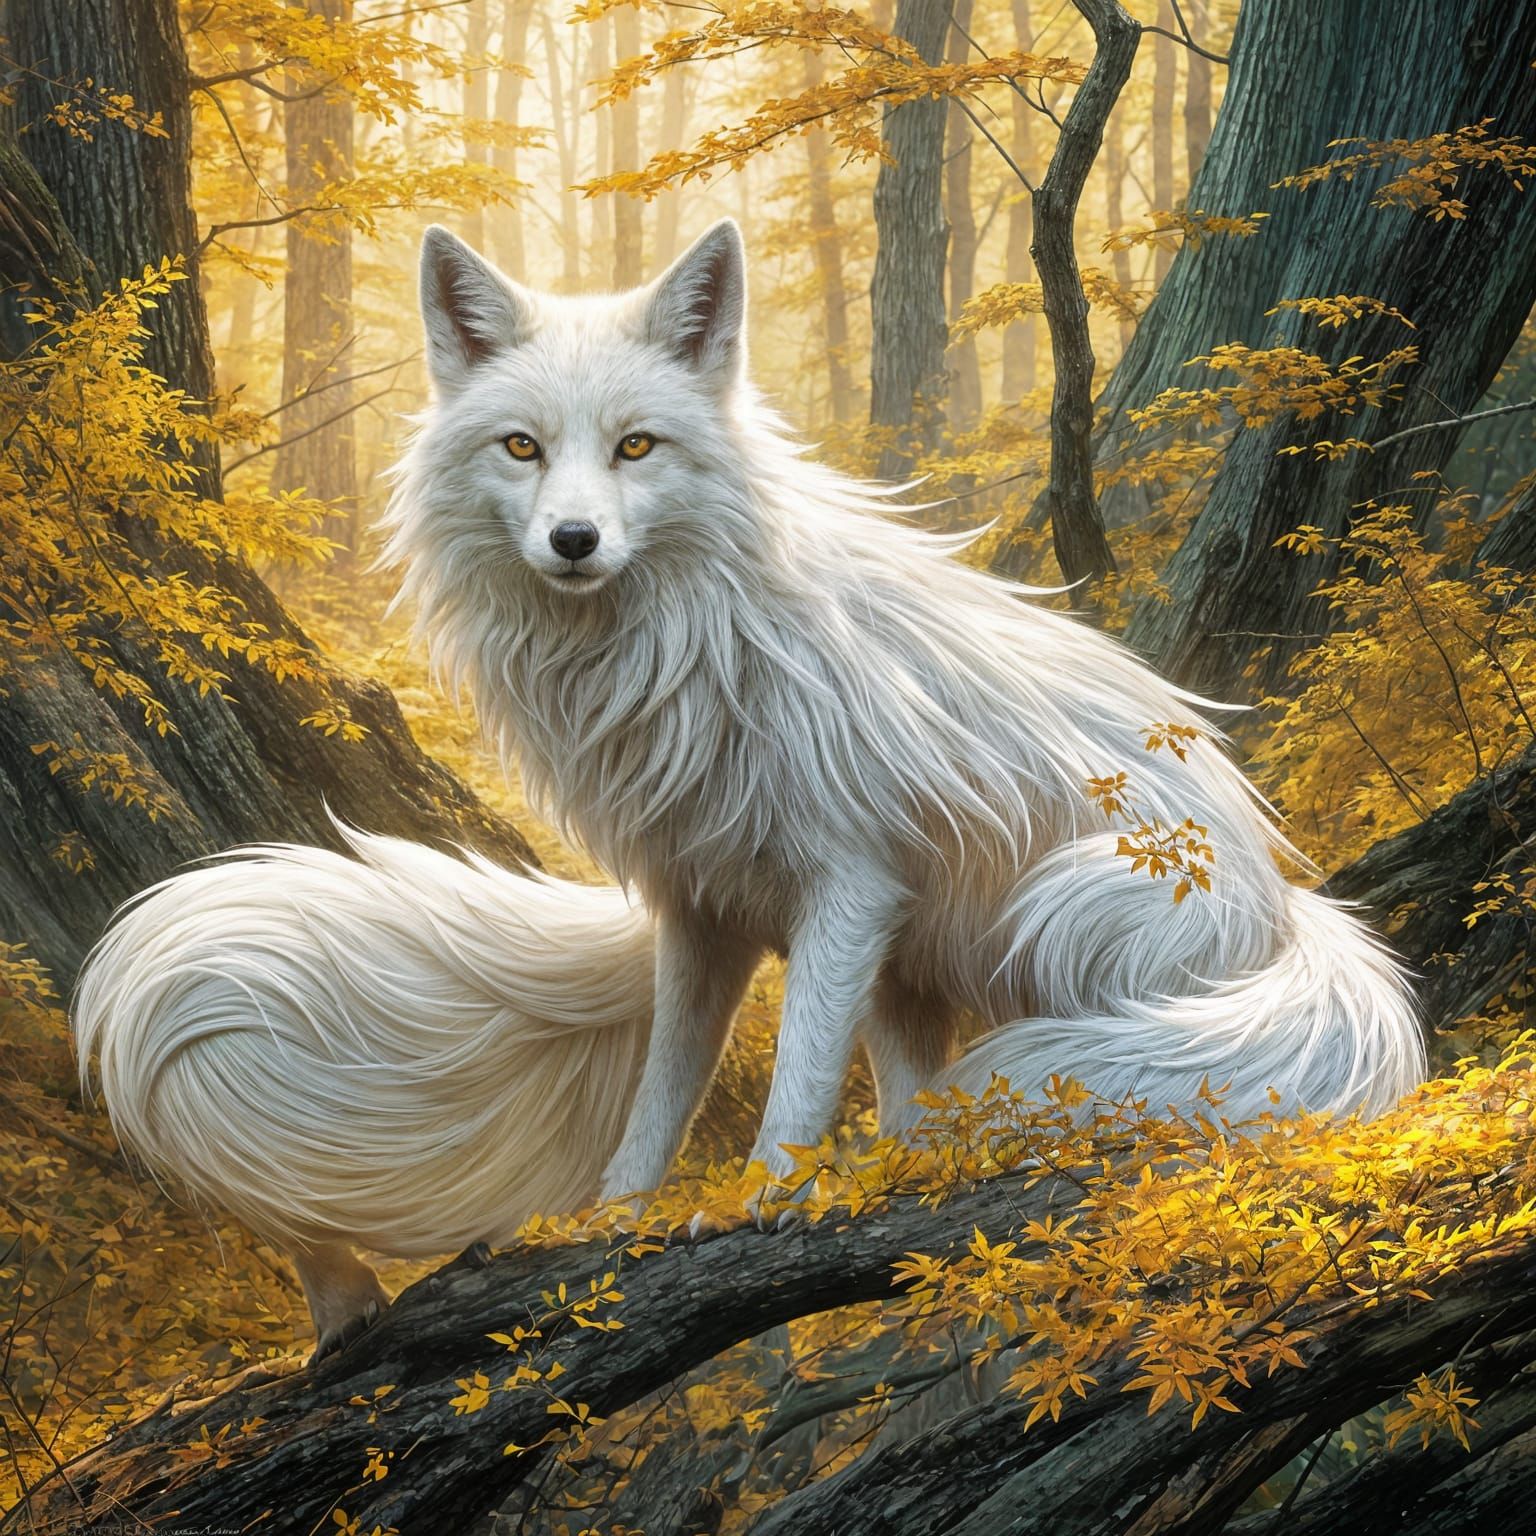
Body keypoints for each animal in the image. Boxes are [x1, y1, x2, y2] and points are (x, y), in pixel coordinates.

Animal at [381, 217, 1427, 1210]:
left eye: (634, 445)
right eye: (523, 446)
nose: (574, 539)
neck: (684, 648)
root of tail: (1290, 911)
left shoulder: (852, 885)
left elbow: (799, 1075)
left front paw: (757, 1204)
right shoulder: (701, 907)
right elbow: (665, 1083)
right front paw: (613, 1216)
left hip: (1066, 903)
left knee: (1106, 1052)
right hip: (912, 968)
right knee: (917, 1095)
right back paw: (914, 1161)